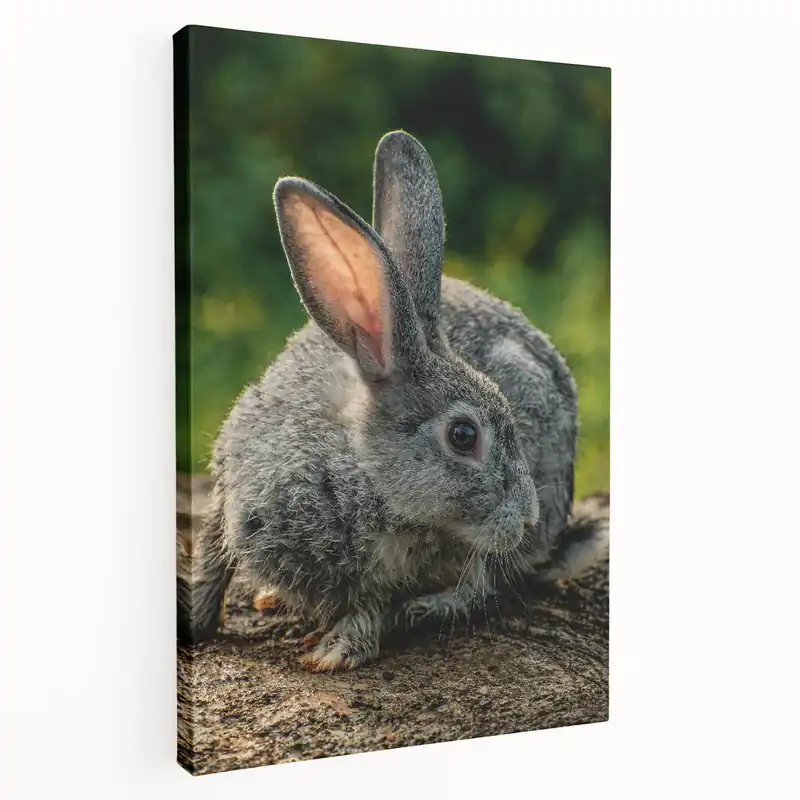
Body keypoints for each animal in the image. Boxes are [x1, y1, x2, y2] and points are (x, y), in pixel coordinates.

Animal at [177, 130, 609, 670]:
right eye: (463, 436)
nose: (526, 516)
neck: (358, 469)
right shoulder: (230, 488)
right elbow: (212, 563)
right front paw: (192, 620)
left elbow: (374, 605)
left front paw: (337, 652)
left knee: (487, 583)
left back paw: (427, 607)